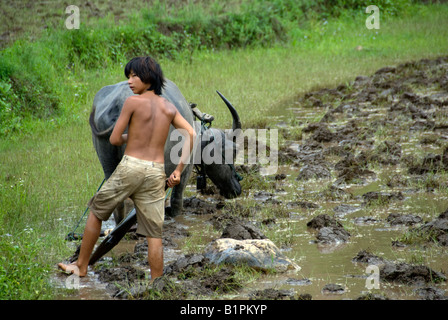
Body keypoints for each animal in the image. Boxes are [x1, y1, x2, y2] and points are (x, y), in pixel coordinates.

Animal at [88, 79, 242, 222]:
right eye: (233, 152)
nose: (237, 189)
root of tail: (117, 103)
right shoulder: (184, 169)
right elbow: (176, 200)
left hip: (108, 162)